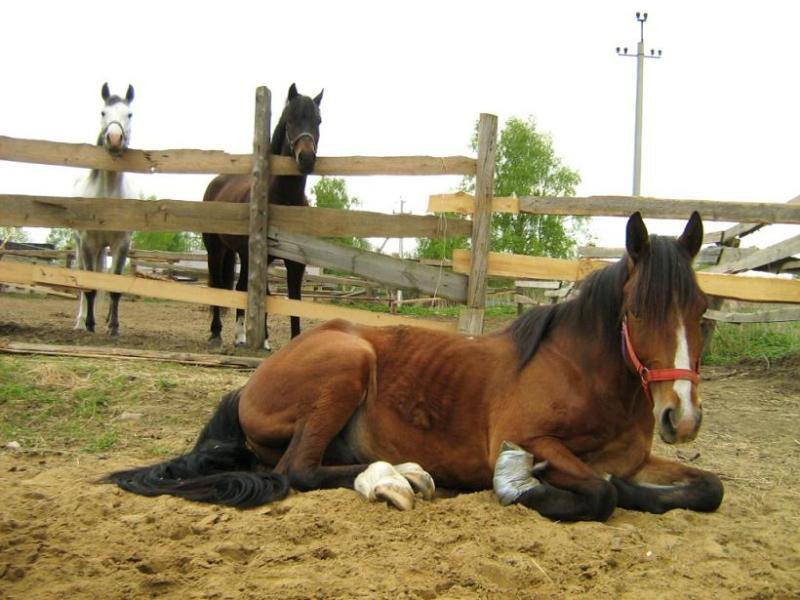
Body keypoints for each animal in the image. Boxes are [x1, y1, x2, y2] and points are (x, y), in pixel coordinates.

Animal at [108, 213, 724, 524]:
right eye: (636, 311)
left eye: (699, 309)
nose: (682, 418)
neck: (585, 375)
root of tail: (248, 387)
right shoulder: (525, 439)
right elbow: (600, 493)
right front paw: (530, 491)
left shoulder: (638, 458)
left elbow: (706, 487)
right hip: (349, 362)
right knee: (299, 470)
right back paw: (394, 478)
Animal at [202, 82, 324, 350]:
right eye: (289, 120)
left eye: (318, 120)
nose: (307, 158)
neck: (282, 199)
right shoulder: (259, 257)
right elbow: (262, 295)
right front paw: (263, 340)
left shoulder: (295, 263)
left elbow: (294, 300)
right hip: (216, 250)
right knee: (218, 285)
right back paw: (217, 334)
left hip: (238, 254)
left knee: (239, 287)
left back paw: (240, 336)